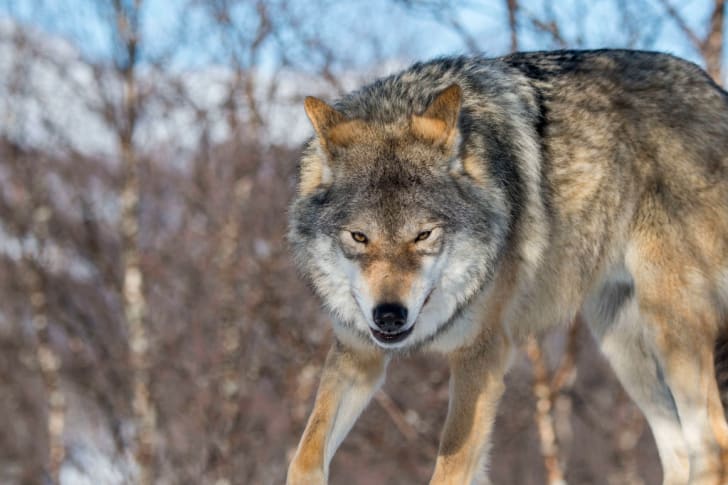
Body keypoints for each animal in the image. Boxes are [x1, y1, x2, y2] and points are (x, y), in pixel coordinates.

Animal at [288, 50, 728, 484]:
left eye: (424, 235)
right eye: (359, 236)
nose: (390, 316)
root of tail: (715, 93)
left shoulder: (481, 352)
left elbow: (450, 467)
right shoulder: (357, 352)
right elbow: (304, 459)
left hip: (669, 327)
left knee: (712, 443)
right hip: (622, 344)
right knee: (680, 452)